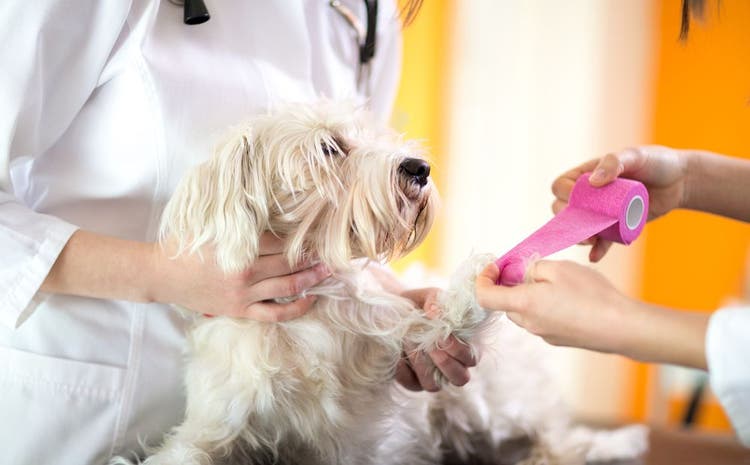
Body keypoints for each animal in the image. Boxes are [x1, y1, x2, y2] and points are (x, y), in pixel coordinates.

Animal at [114, 101, 648, 464]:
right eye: (329, 147)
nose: (420, 168)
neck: (304, 319)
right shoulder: (217, 422)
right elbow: (187, 450)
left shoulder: (394, 352)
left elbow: (443, 321)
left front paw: (480, 274)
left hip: (492, 402)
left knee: (562, 439)